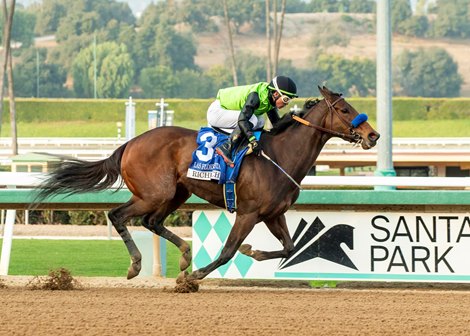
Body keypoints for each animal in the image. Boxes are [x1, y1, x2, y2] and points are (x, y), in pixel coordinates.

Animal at [35, 86, 380, 284]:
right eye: (345, 110)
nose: (373, 135)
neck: (280, 155)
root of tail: (130, 143)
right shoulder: (248, 213)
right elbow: (228, 251)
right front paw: (195, 277)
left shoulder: (273, 214)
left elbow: (289, 247)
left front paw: (252, 251)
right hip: (154, 192)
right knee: (119, 215)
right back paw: (137, 265)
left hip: (177, 192)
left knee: (151, 221)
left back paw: (185, 255)